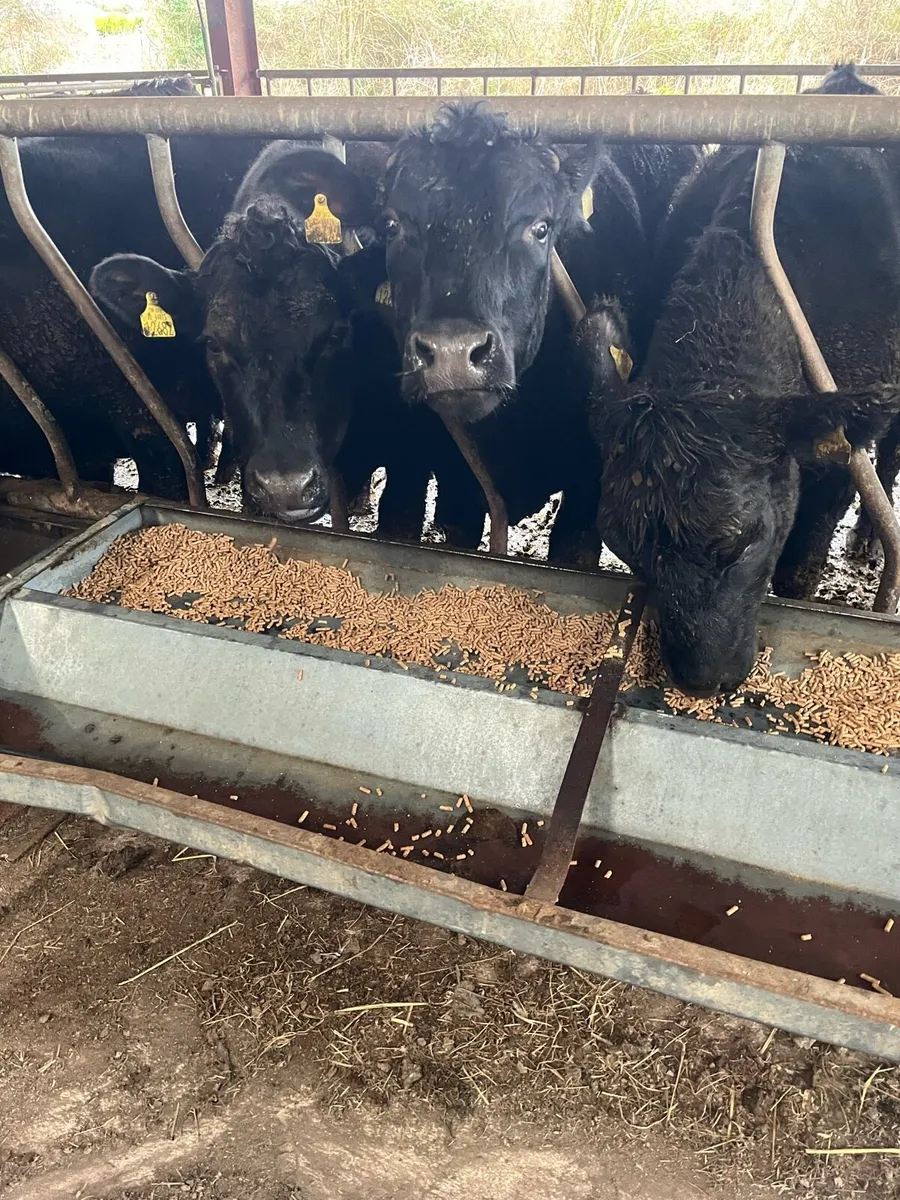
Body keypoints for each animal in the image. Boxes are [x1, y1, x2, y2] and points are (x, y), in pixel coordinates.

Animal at [577, 136, 900, 697]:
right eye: (624, 548)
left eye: (740, 542)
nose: (701, 681)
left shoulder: (838, 467)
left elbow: (799, 572)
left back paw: (868, 538)